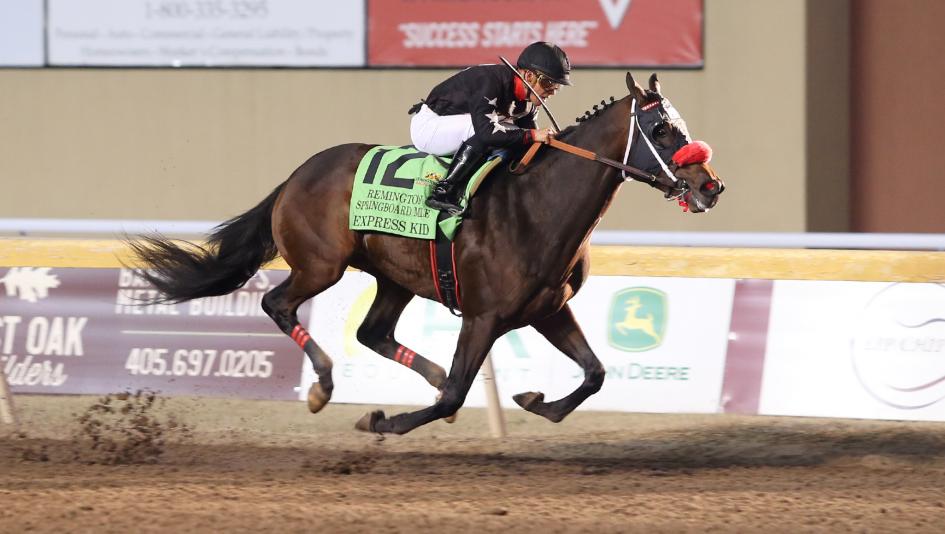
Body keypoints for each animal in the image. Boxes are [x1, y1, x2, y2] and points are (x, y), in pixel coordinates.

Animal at [128, 72, 725, 435]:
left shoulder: (547, 309)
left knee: (373, 332)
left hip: (392, 277)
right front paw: (382, 422)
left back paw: (419, 371)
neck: (537, 205)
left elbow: (595, 373)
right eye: (662, 129)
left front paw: (536, 402)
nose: (711, 187)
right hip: (321, 265)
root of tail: (297, 175)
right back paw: (323, 385)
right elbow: (455, 396)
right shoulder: (484, 316)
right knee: (277, 304)